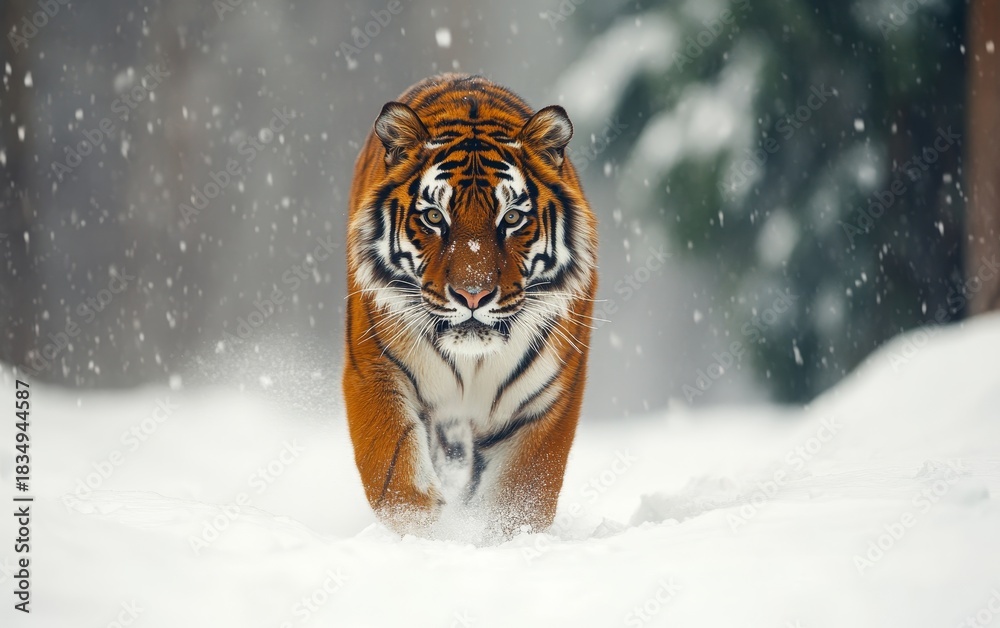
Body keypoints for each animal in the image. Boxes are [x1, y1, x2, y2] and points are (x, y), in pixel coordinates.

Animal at [343, 73, 598, 540]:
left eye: (512, 218)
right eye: (434, 217)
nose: (474, 295)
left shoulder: (547, 397)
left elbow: (520, 497)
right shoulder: (374, 369)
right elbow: (395, 474)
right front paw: (425, 534)